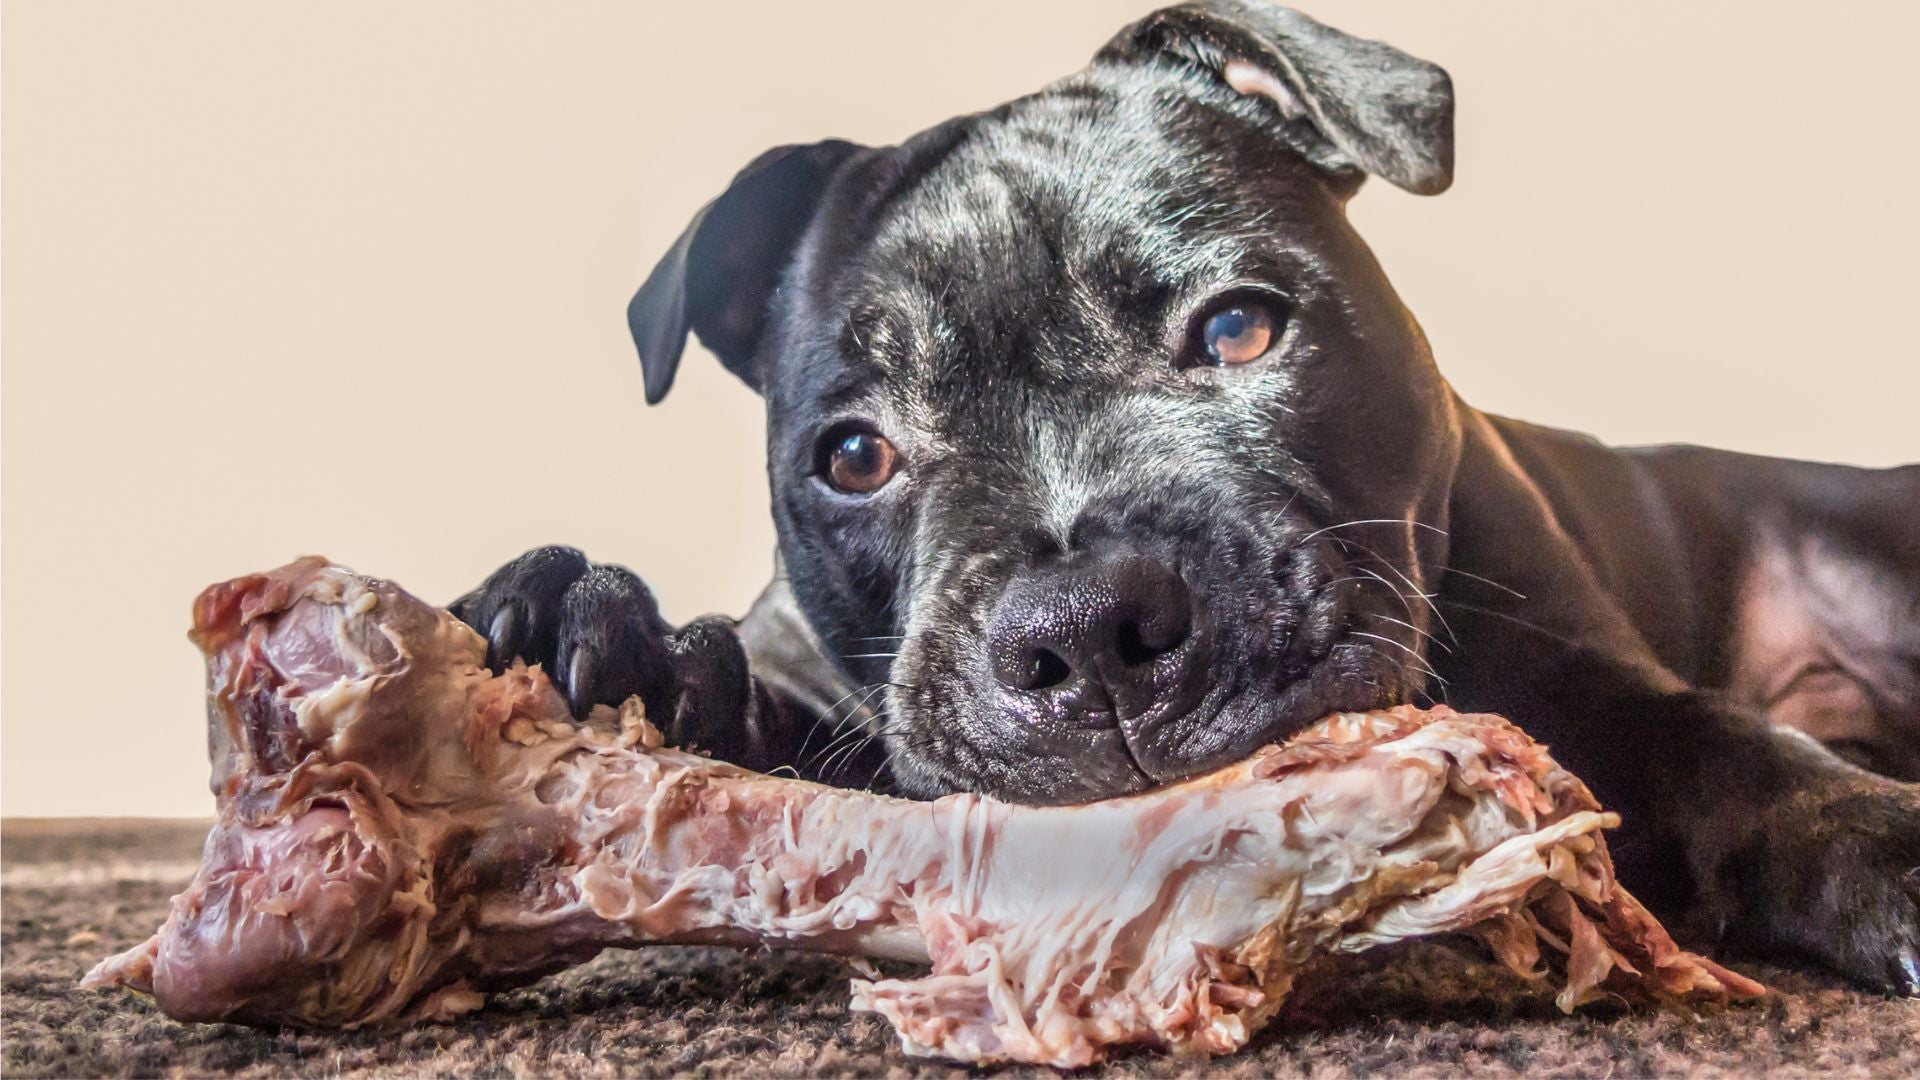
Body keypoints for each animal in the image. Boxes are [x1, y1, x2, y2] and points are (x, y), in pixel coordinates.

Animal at [453, 2, 1920, 991]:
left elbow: (1724, 749)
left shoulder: (1590, 673)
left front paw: (1880, 843)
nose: (1084, 632)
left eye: (1237, 330)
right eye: (855, 457)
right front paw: (599, 632)